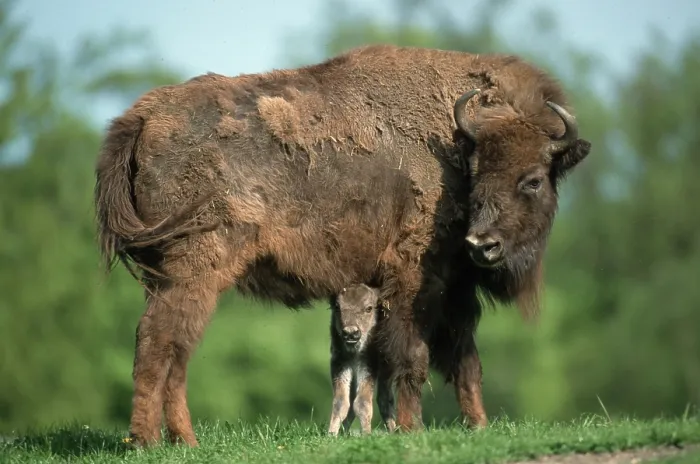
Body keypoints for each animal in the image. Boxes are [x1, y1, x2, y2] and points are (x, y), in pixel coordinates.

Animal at [328, 284, 395, 436]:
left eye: (369, 308)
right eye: (337, 307)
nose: (351, 333)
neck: (354, 354)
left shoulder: (368, 367)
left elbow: (362, 402)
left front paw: (366, 434)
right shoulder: (340, 365)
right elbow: (340, 402)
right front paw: (331, 434)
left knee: (385, 398)